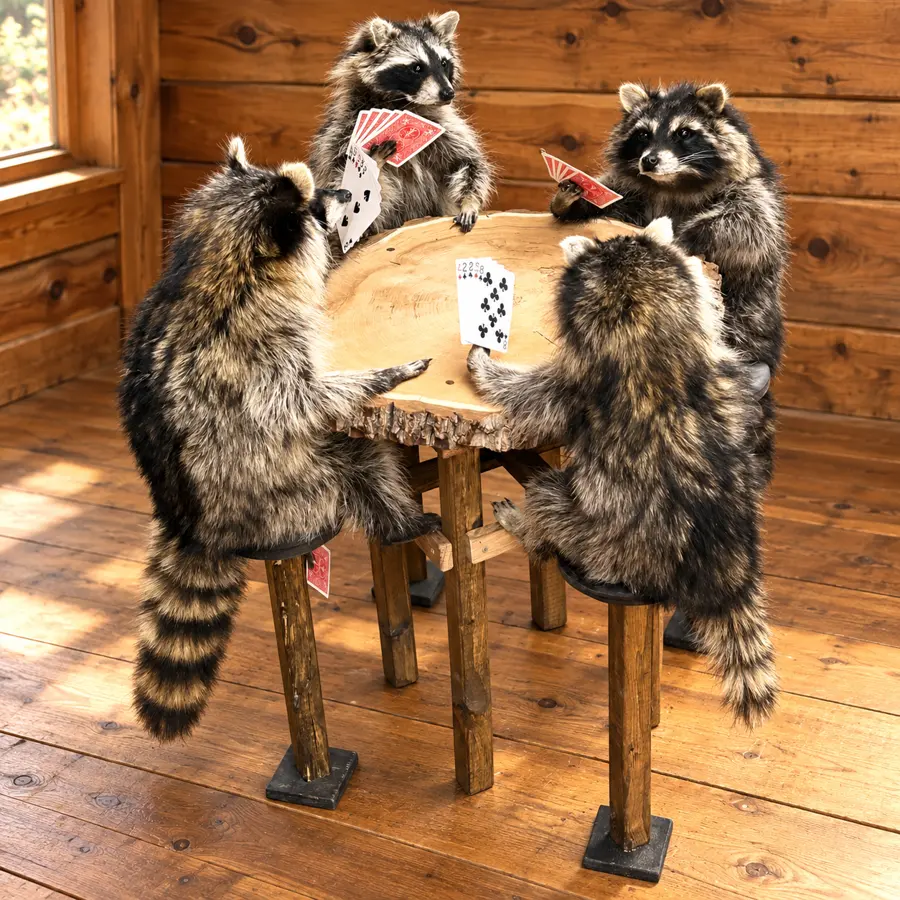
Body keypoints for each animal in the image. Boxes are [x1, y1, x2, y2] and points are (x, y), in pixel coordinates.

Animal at [119, 138, 441, 741]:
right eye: (315, 207)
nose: (345, 196)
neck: (212, 255)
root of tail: (193, 524)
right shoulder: (259, 340)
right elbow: (306, 400)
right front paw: (380, 376)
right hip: (291, 492)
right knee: (360, 464)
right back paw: (402, 524)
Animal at [309, 11, 494, 240]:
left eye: (443, 63)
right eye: (417, 67)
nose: (448, 93)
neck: (403, 103)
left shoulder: (444, 127)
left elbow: (469, 162)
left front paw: (469, 201)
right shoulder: (342, 133)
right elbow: (348, 189)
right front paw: (374, 164)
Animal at [468, 219, 778, 727]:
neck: (649, 330)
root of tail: (722, 563)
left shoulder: (579, 382)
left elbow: (530, 395)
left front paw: (486, 370)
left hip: (601, 542)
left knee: (549, 500)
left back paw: (526, 526)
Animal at [551, 82, 787, 480]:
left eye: (685, 133)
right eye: (643, 134)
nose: (649, 161)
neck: (676, 184)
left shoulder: (756, 191)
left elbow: (747, 229)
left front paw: (687, 233)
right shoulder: (632, 195)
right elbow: (614, 204)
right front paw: (573, 201)